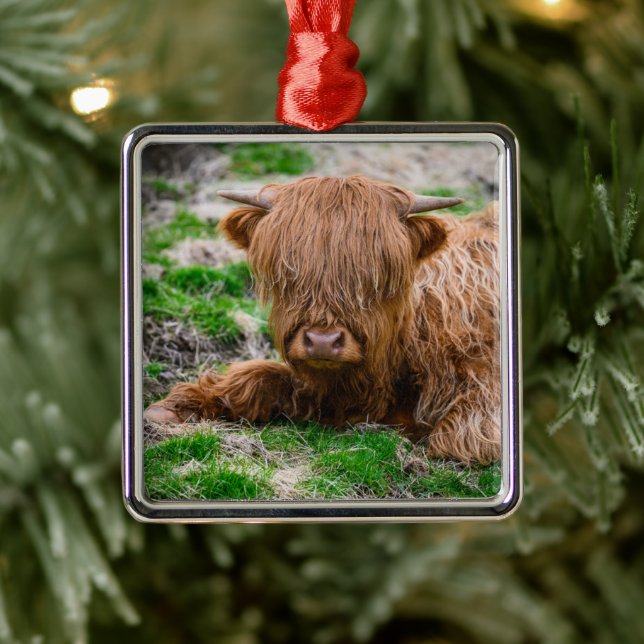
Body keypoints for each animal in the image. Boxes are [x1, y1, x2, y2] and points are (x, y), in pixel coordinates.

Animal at [145, 175, 501, 464]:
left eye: (375, 278)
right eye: (288, 274)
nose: (322, 342)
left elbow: (457, 439)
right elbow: (257, 376)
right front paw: (176, 407)